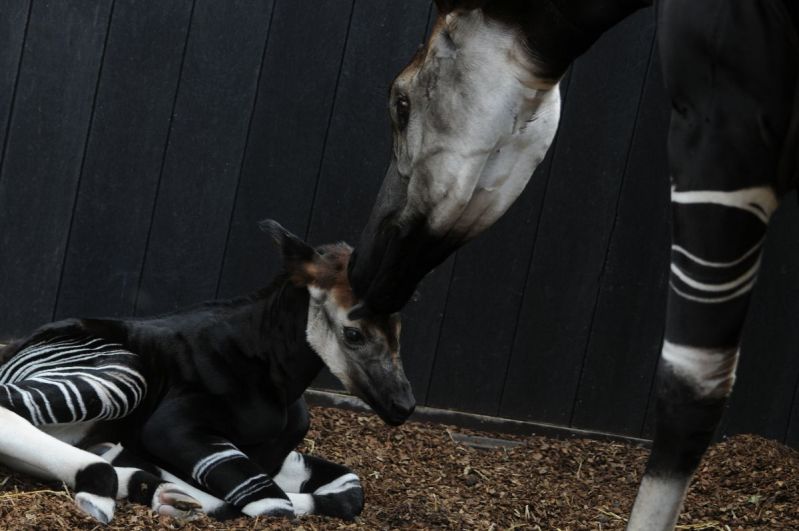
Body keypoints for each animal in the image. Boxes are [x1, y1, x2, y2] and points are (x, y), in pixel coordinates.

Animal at [0, 220, 416, 524]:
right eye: (353, 333)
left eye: (399, 329)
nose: (404, 405)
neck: (277, 379)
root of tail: (20, 350)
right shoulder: (172, 428)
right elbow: (271, 503)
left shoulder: (275, 458)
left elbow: (349, 490)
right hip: (122, 373)